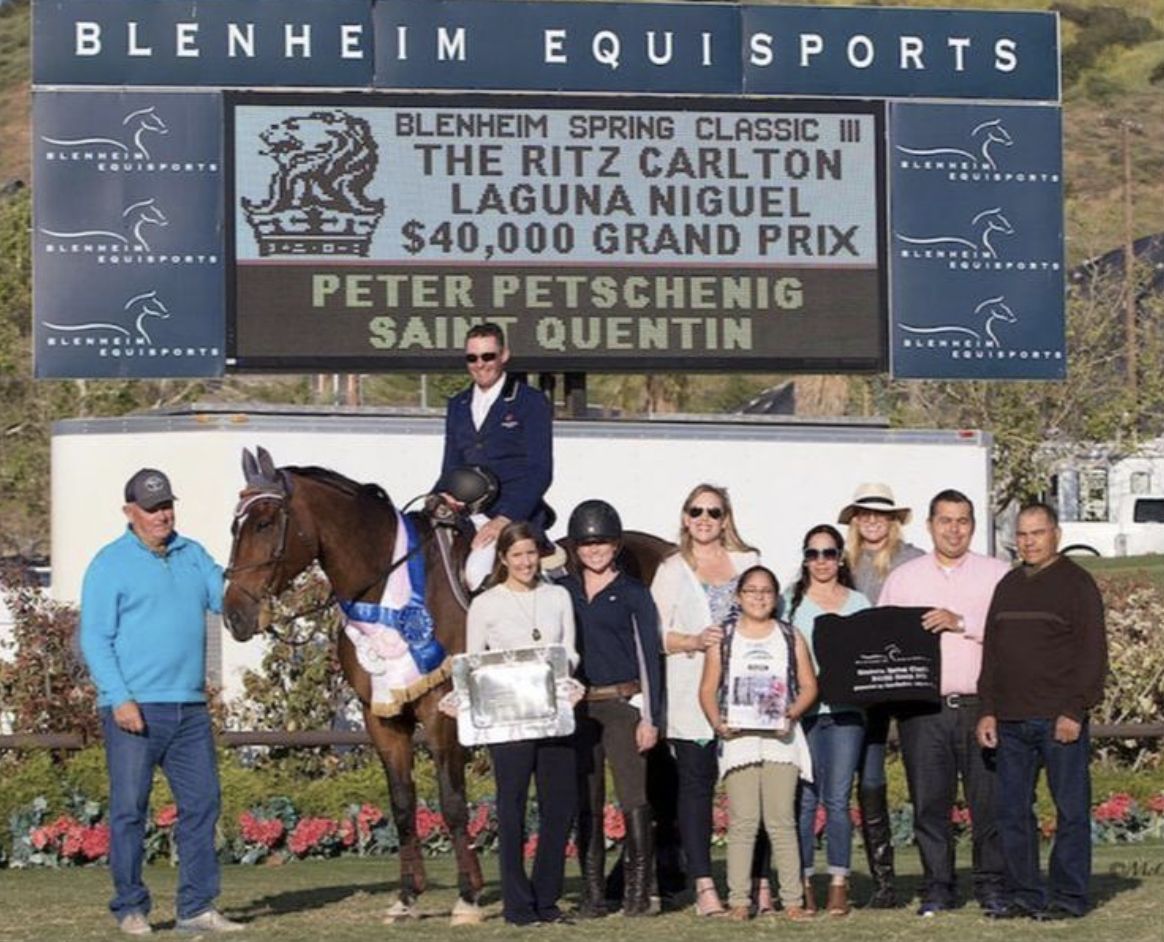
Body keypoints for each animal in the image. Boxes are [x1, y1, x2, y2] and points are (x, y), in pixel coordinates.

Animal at [221, 447, 675, 917]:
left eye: (264, 523)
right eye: (236, 525)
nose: (234, 614)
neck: (386, 589)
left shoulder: (442, 710)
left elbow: (453, 800)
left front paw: (467, 895)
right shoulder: (381, 715)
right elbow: (403, 803)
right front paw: (407, 895)